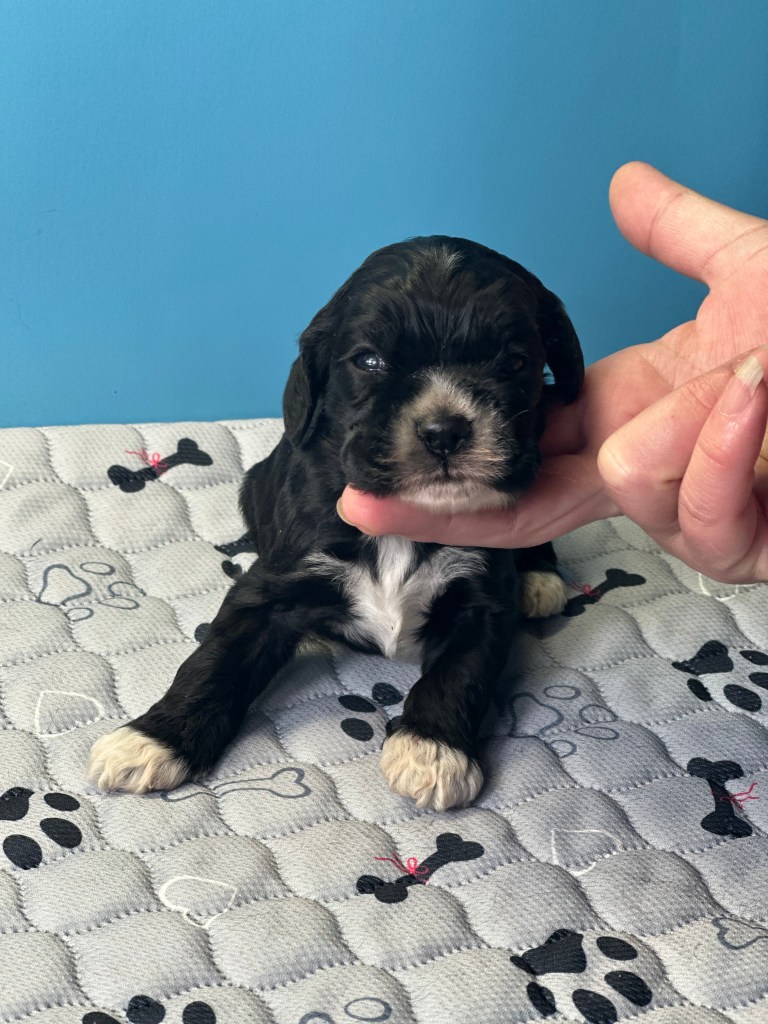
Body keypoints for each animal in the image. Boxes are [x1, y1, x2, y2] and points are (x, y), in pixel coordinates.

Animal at [88, 237, 584, 811]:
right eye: (369, 360)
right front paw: (152, 739)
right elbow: (215, 658)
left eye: (516, 361)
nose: (444, 431)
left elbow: (463, 671)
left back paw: (541, 579)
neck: (406, 525)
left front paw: (432, 751)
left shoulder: (483, 599)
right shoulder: (274, 585)